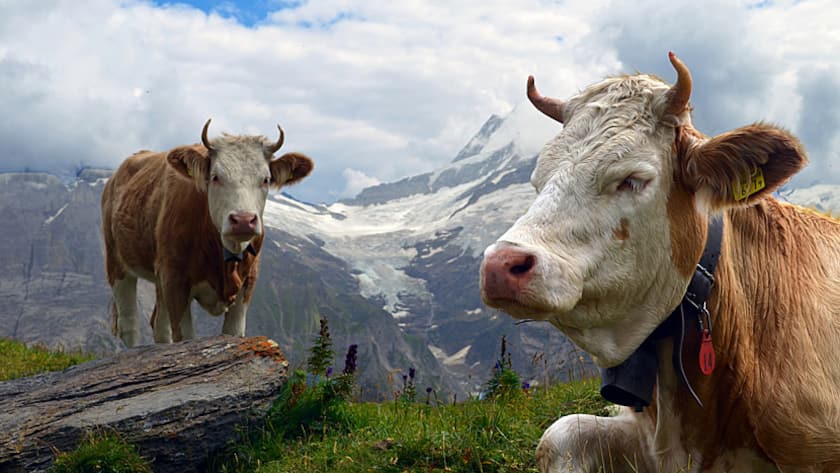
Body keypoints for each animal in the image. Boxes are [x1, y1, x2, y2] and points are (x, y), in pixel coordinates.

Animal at [102, 120, 313, 347]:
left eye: (265, 179)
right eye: (215, 177)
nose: (243, 220)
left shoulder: (248, 281)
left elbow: (233, 335)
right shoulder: (175, 280)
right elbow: (185, 338)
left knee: (159, 324)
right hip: (117, 263)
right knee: (129, 324)